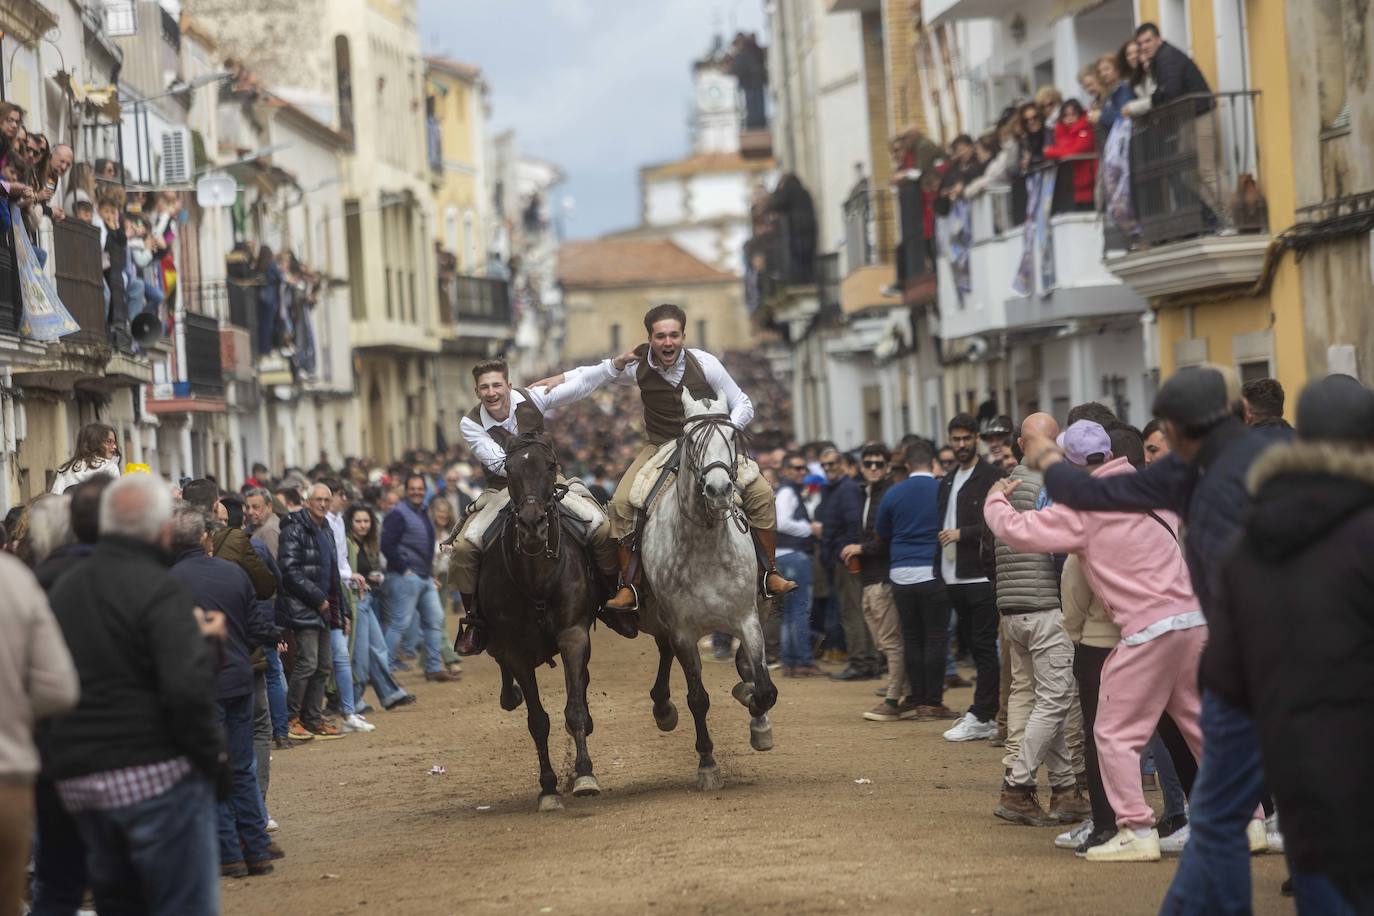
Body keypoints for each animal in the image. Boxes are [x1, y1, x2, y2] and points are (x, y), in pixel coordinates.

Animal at [637, 390, 780, 791]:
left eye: (731, 437)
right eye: (692, 441)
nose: (719, 490)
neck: (704, 544)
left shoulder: (747, 619)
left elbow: (765, 688)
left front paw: (757, 715)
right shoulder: (683, 631)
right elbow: (698, 698)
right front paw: (707, 764)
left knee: (747, 666)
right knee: (666, 653)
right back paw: (663, 707)